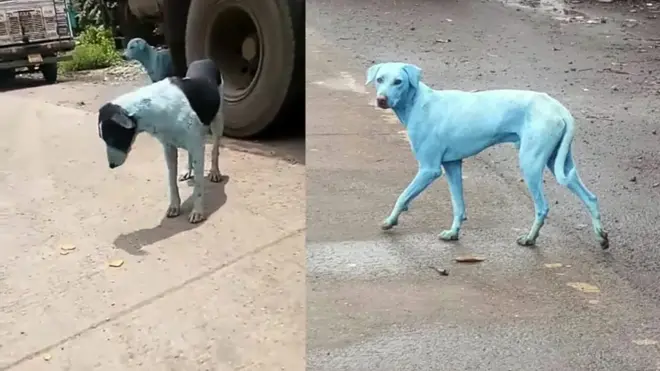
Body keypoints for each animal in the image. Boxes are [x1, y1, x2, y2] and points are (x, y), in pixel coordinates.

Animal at [98, 58, 226, 224]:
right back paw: (187, 170)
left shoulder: (198, 147)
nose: (111, 166)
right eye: (103, 139)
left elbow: (198, 184)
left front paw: (197, 211)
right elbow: (171, 181)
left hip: (218, 123)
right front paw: (174, 206)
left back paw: (215, 172)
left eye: (113, 138)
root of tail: (205, 60)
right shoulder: (169, 149)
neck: (156, 109)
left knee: (215, 150)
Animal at [366, 63, 608, 250]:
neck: (418, 102)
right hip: (559, 162)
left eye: (398, 81)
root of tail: (559, 108)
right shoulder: (452, 165)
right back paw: (601, 237)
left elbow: (403, 196)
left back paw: (530, 238)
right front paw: (453, 233)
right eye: (380, 79)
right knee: (590, 197)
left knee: (543, 207)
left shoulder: (429, 169)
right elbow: (458, 205)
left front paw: (390, 221)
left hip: (530, 164)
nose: (381, 100)